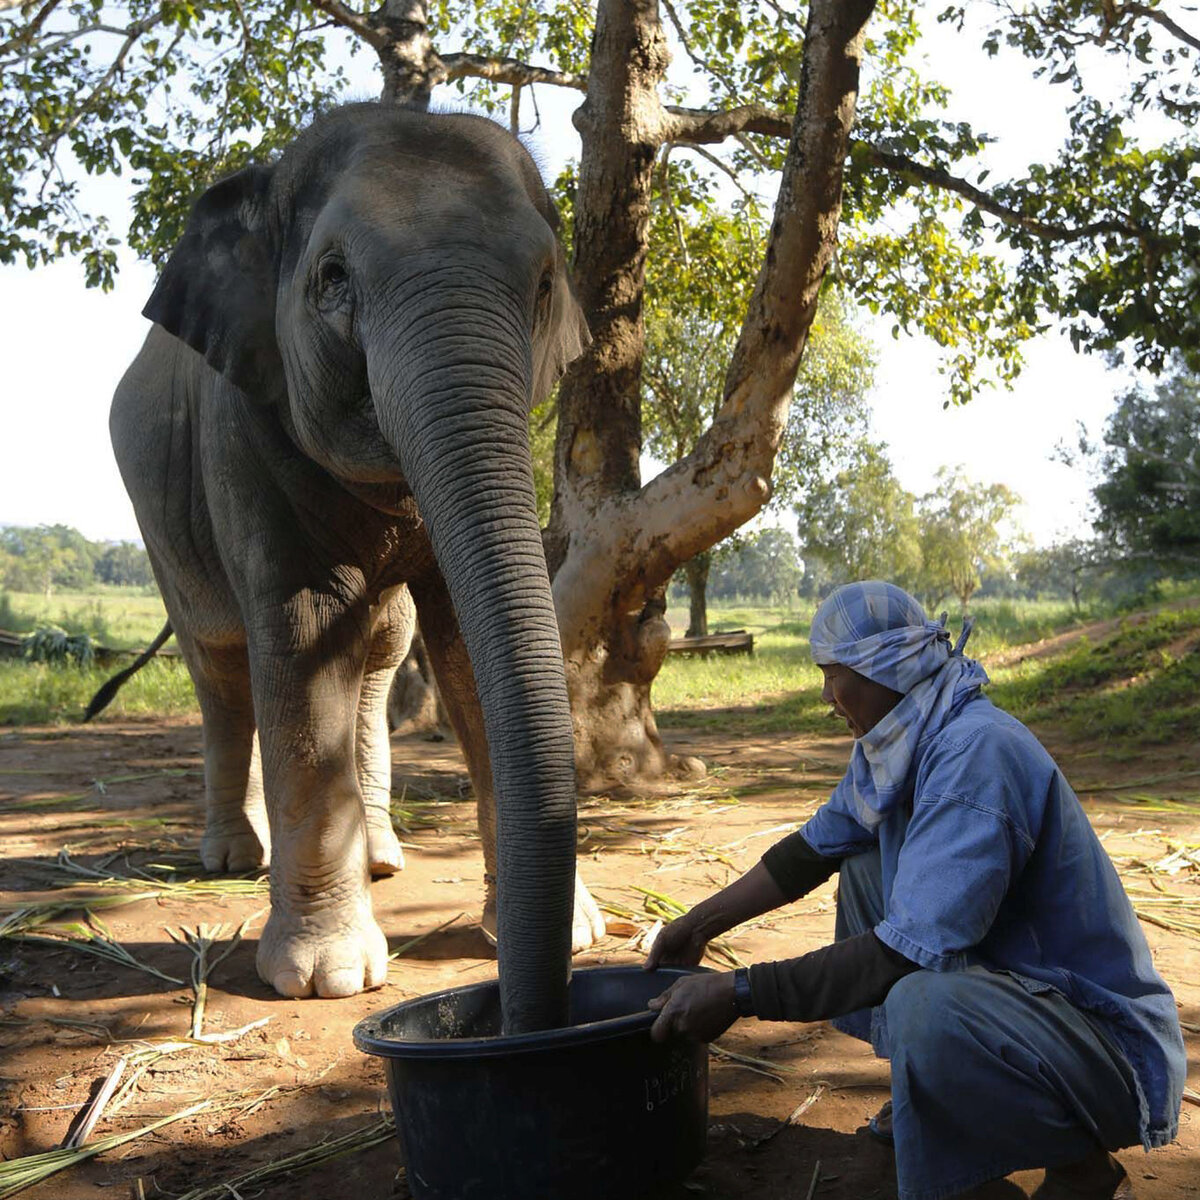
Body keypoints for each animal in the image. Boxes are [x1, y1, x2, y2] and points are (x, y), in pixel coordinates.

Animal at [108, 103, 604, 1032]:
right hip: (160, 525)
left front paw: (582, 933)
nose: (532, 1006)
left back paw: (379, 857)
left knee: (375, 657)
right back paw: (235, 857)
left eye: (545, 282)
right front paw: (324, 977)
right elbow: (301, 638)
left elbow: (463, 644)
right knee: (222, 669)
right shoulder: (243, 434)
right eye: (332, 277)